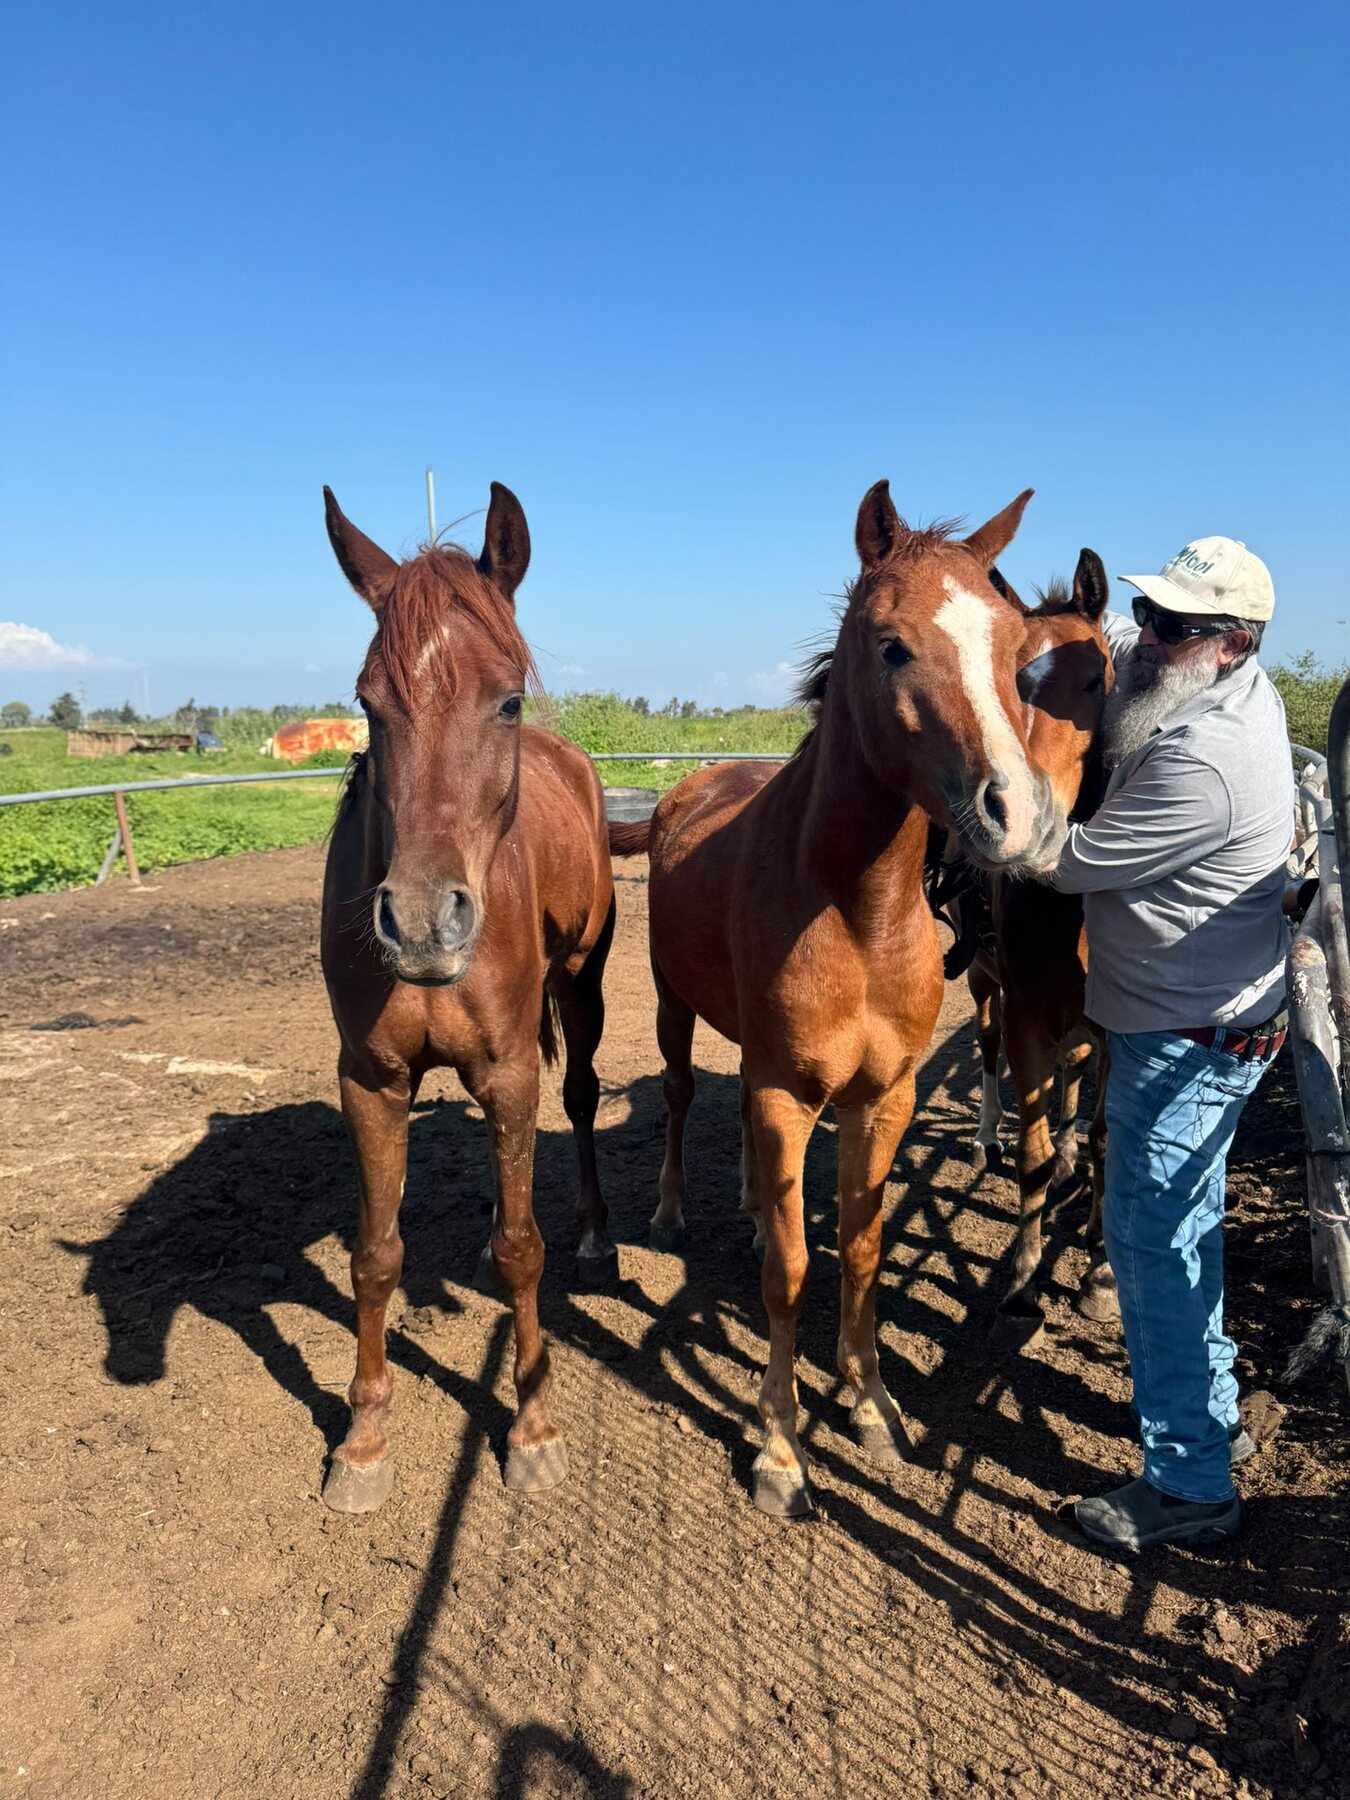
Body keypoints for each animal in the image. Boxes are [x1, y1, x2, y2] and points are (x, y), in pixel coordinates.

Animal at [318, 482, 617, 1513]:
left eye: (507, 698)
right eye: (366, 703)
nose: (419, 922)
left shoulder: (511, 1072)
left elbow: (523, 1249)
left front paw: (533, 1425)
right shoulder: (370, 1081)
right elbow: (375, 1257)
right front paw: (364, 1438)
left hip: (584, 987)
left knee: (581, 1100)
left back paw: (595, 1233)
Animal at [610, 482, 1062, 1518]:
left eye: (1017, 649)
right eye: (891, 644)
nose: (1019, 815)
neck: (856, 914)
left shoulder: (882, 1097)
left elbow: (862, 1250)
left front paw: (871, 1406)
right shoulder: (789, 1093)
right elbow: (788, 1271)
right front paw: (780, 1450)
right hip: (672, 1008)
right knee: (683, 1096)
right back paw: (670, 1212)